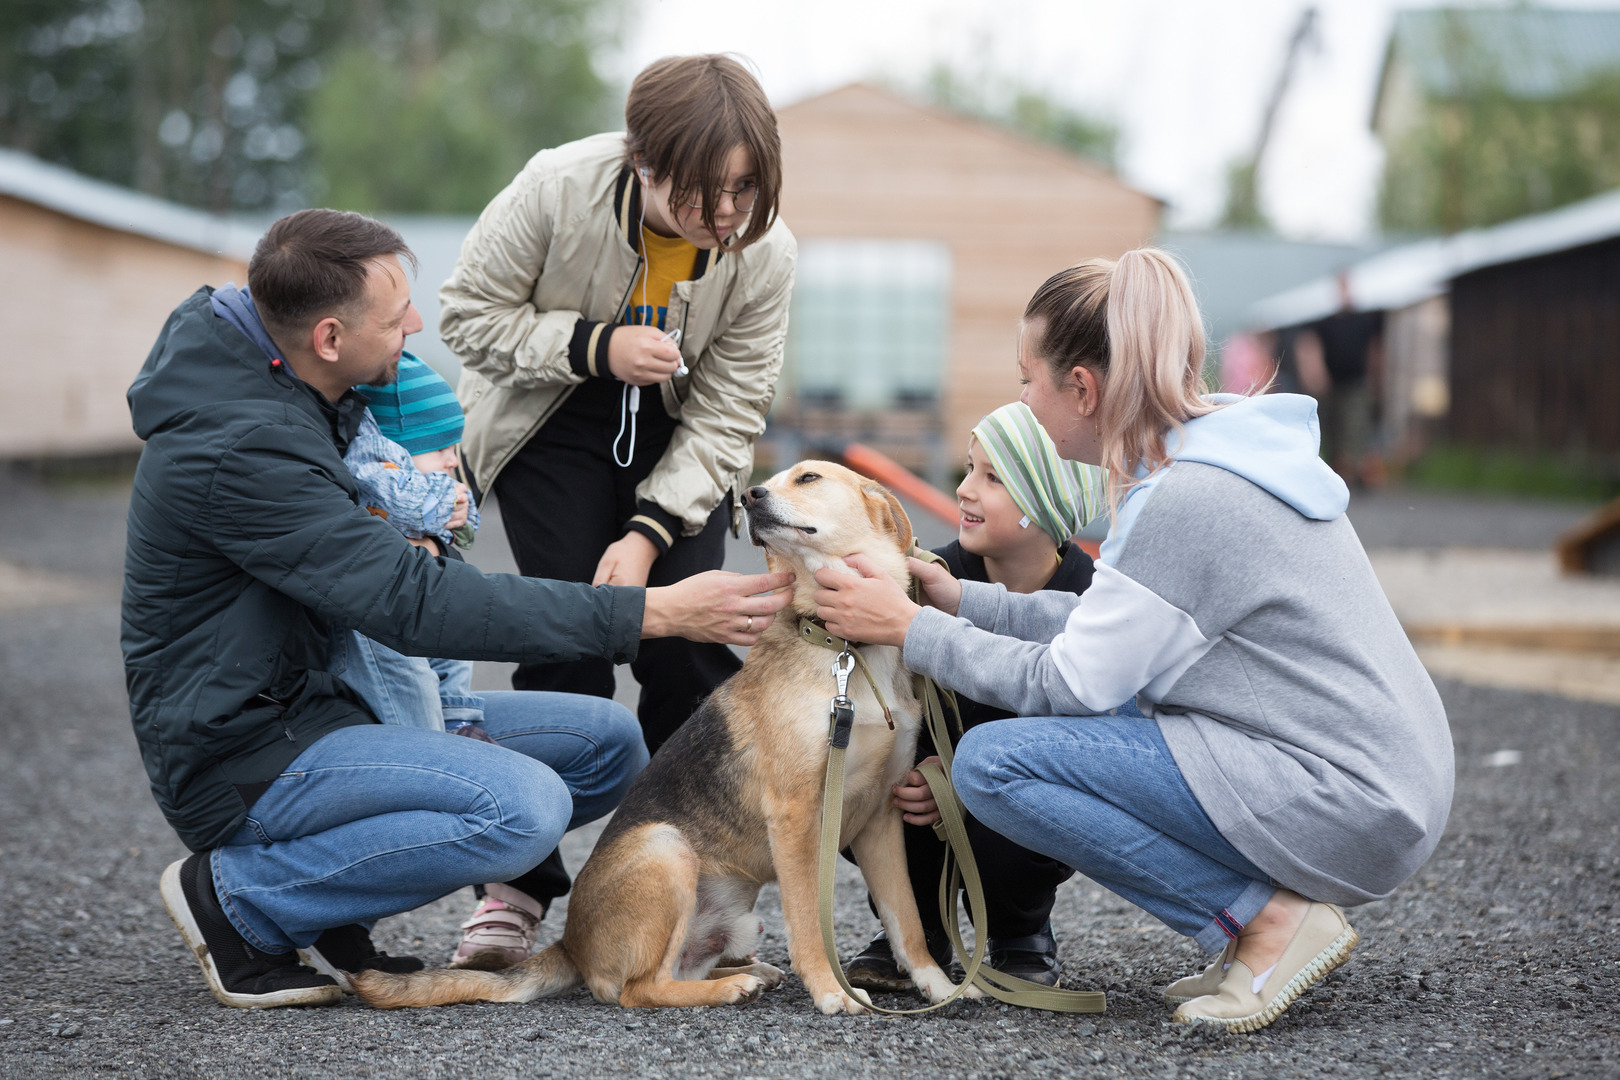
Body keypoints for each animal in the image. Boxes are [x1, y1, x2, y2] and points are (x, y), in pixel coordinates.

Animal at [354, 463, 959, 1016]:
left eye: (808, 478)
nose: (749, 496)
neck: (846, 649)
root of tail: (570, 944)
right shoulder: (795, 816)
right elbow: (810, 922)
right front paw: (833, 991)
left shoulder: (882, 815)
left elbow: (908, 920)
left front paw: (940, 986)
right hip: (666, 848)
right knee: (639, 989)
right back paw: (730, 987)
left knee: (681, 969)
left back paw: (752, 972)